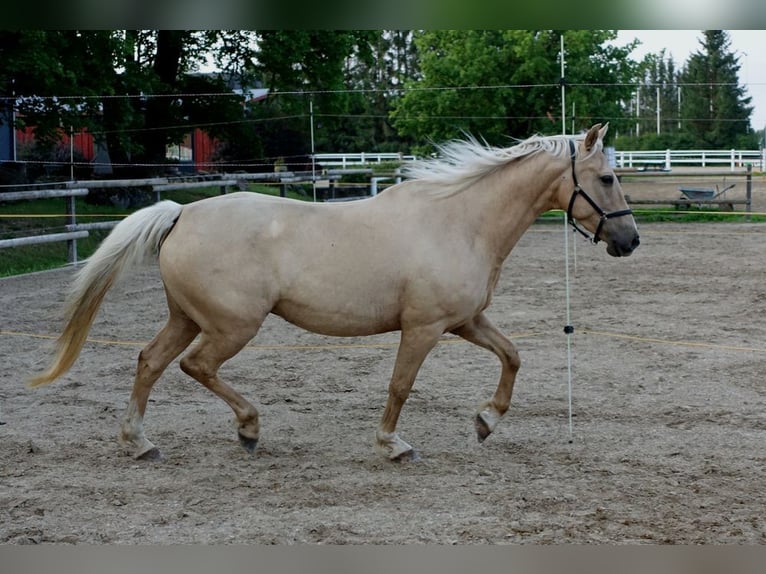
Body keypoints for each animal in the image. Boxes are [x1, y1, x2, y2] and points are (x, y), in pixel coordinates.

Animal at [28, 124, 640, 462]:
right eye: (608, 178)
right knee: (194, 366)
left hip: (186, 317)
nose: (630, 240)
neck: (459, 221)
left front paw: (486, 421)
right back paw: (248, 428)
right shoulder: (423, 328)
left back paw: (140, 442)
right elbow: (400, 386)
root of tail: (181, 214)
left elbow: (512, 356)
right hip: (231, 326)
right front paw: (392, 445)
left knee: (150, 361)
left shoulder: (464, 321)